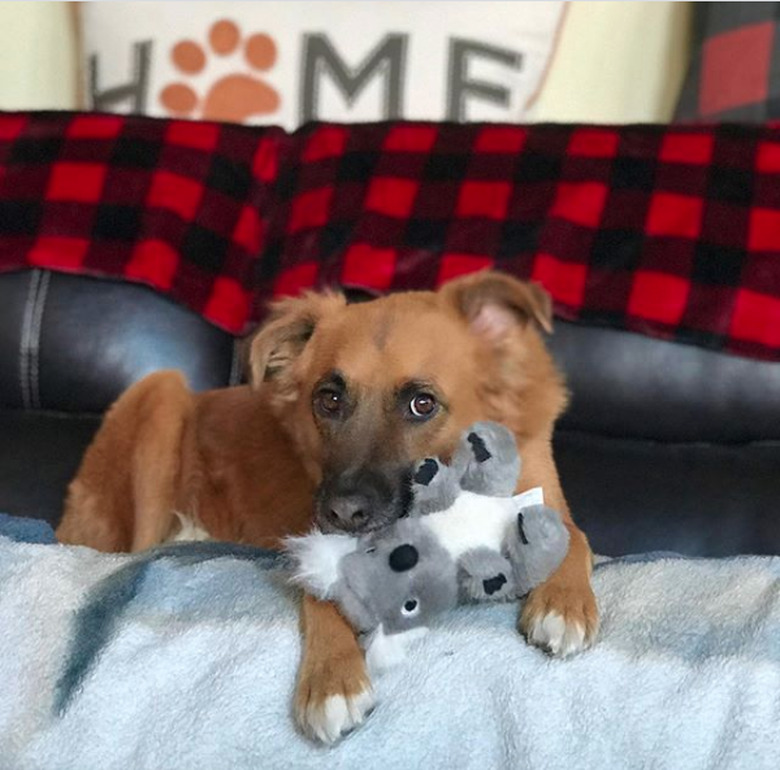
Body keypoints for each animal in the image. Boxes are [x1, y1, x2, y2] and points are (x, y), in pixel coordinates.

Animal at [56, 272, 596, 744]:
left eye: (422, 404)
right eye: (329, 399)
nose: (342, 513)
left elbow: (576, 536)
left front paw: (564, 605)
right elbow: (320, 594)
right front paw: (332, 680)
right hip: (160, 393)